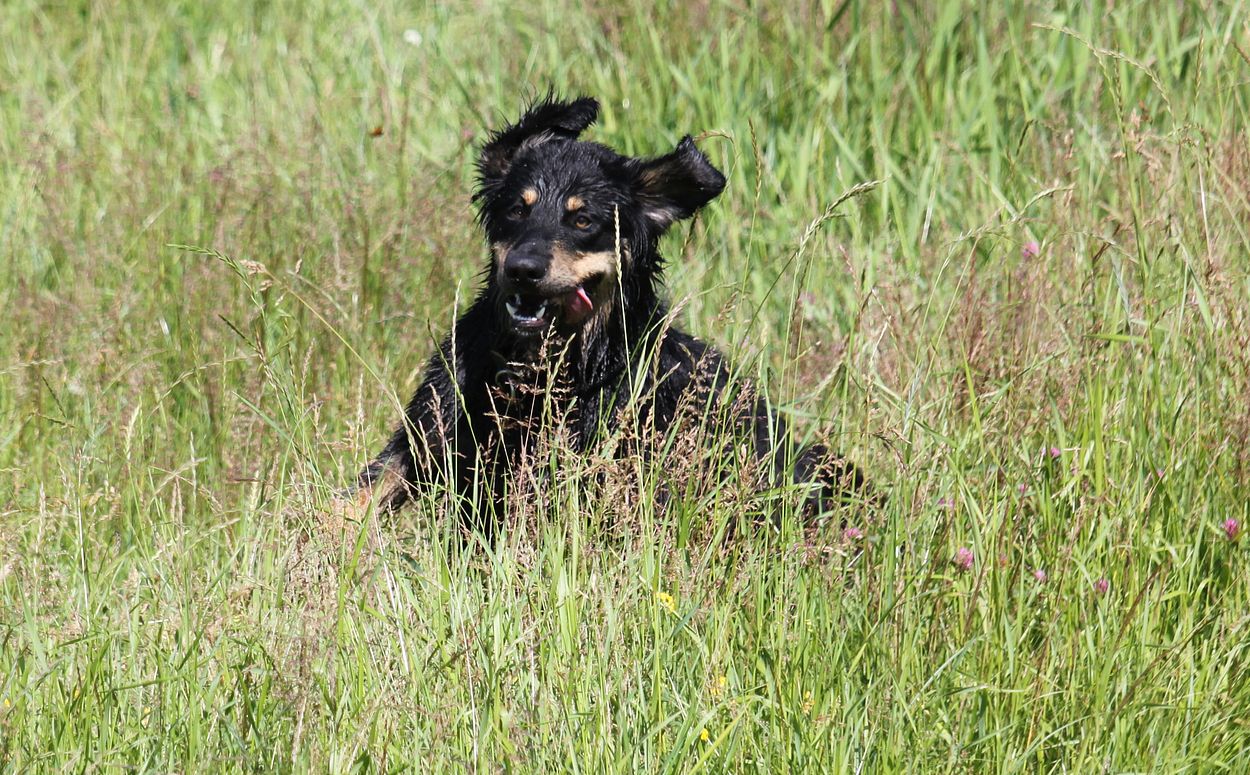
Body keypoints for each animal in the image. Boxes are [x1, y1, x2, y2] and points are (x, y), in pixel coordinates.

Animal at [353, 96, 865, 529]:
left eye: (583, 220)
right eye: (517, 210)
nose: (522, 270)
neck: (543, 366)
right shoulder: (429, 430)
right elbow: (363, 495)